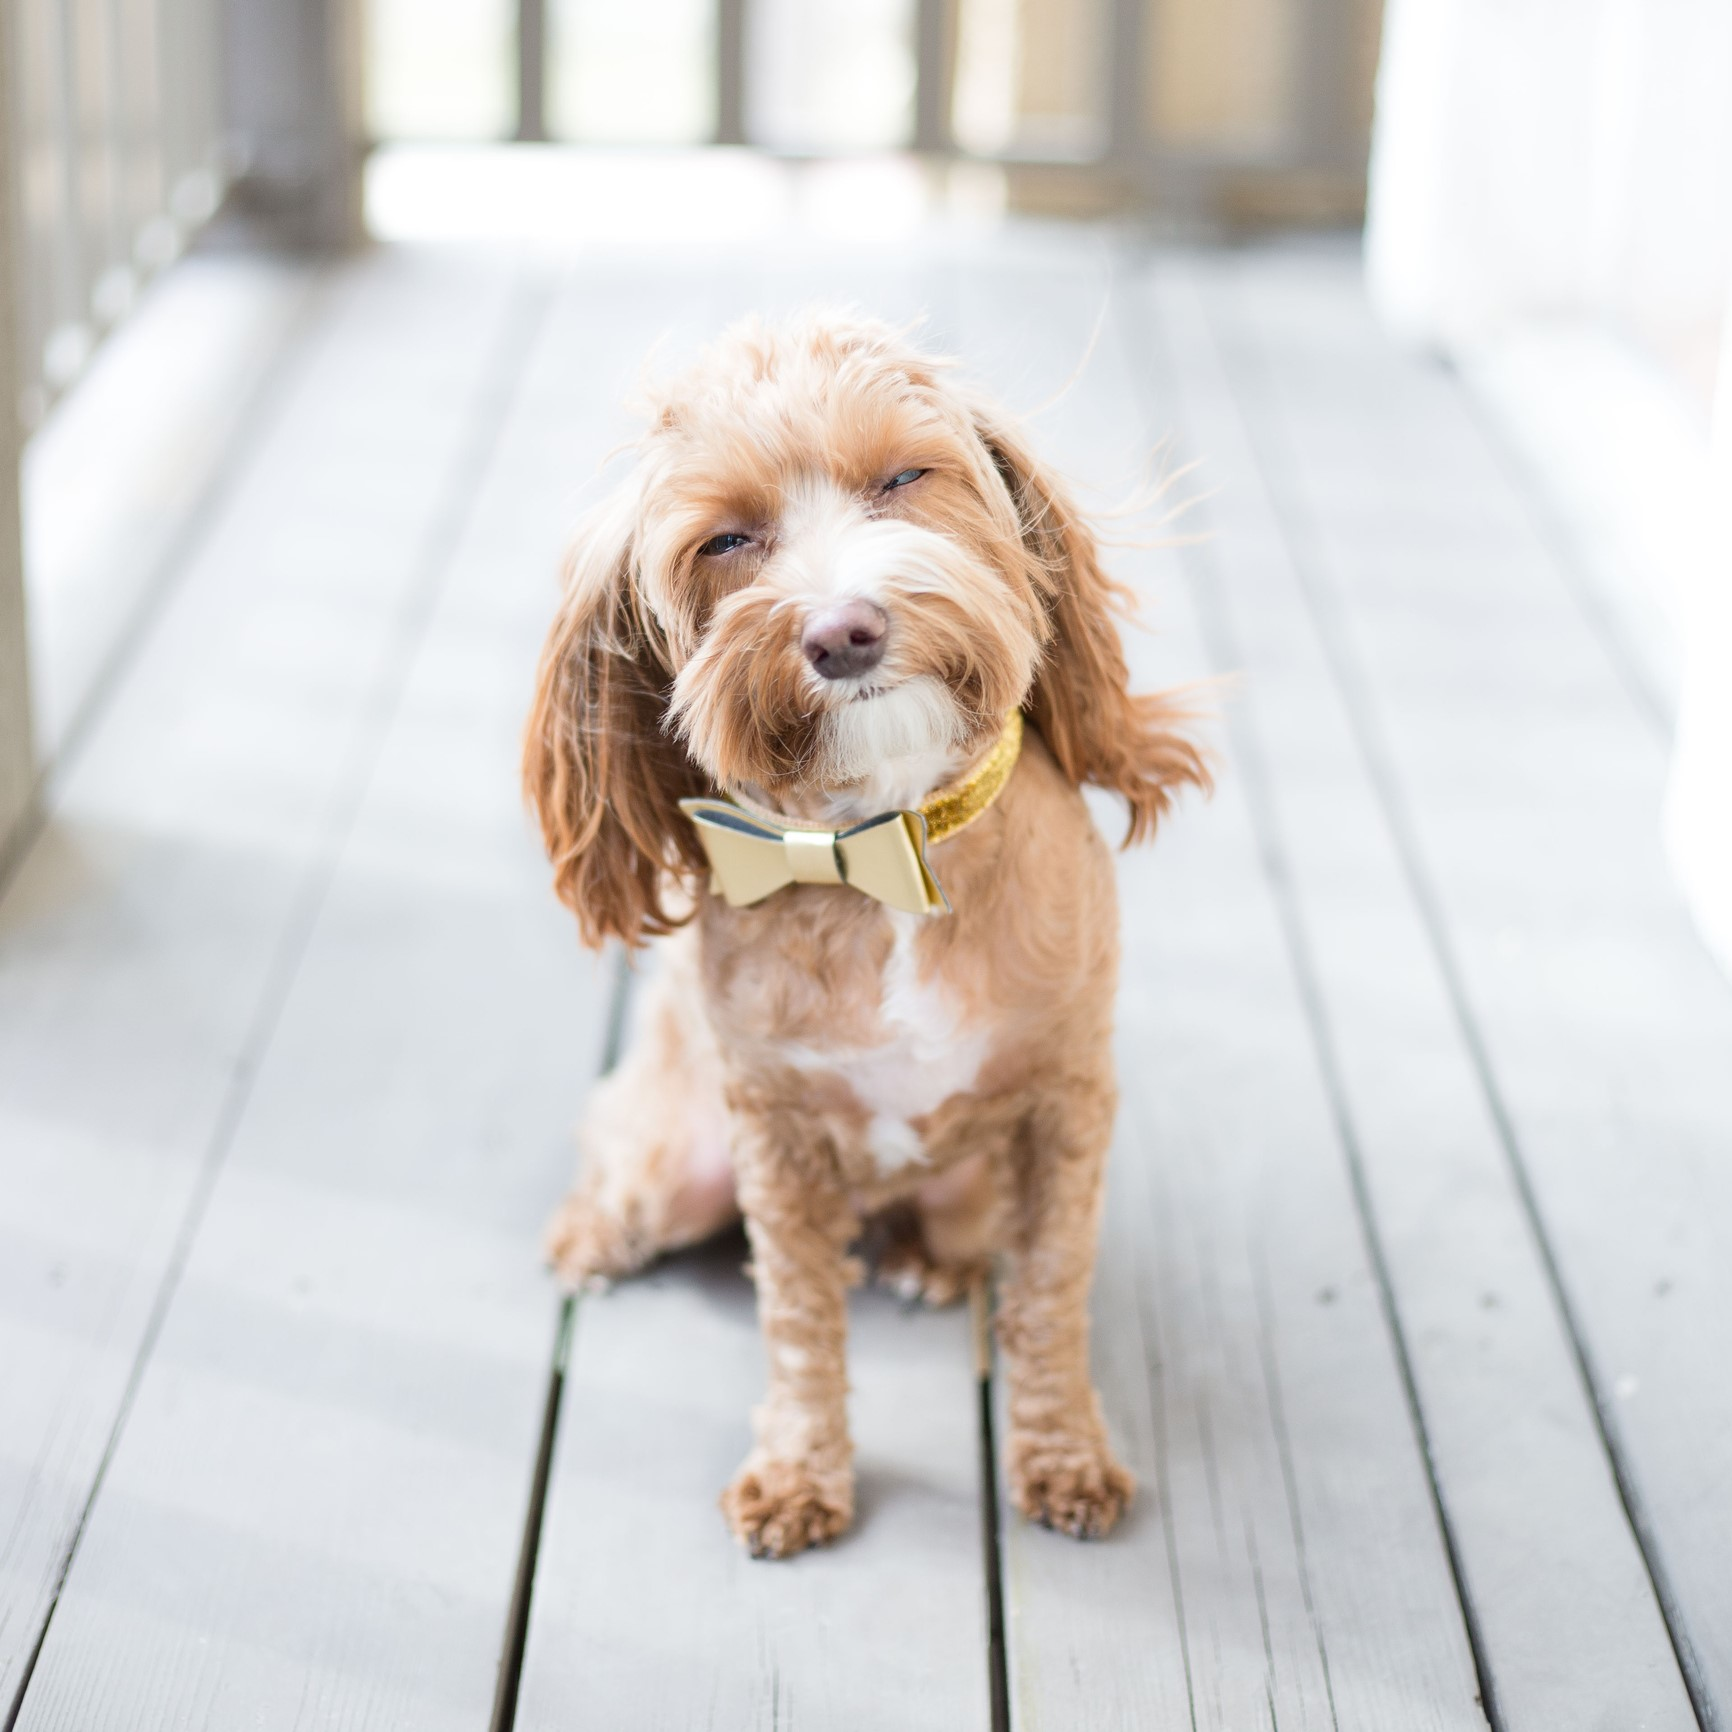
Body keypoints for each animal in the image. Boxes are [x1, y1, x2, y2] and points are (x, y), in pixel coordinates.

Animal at [526, 308, 1205, 1558]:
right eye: (725, 540)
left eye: (902, 478)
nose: (844, 629)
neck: (881, 845)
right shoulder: (775, 1138)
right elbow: (798, 1322)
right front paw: (798, 1471)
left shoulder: (1067, 1104)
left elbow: (1049, 1297)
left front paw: (1065, 1455)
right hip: (673, 1157)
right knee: (623, 1174)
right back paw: (588, 1236)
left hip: (973, 1182)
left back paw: (926, 1260)